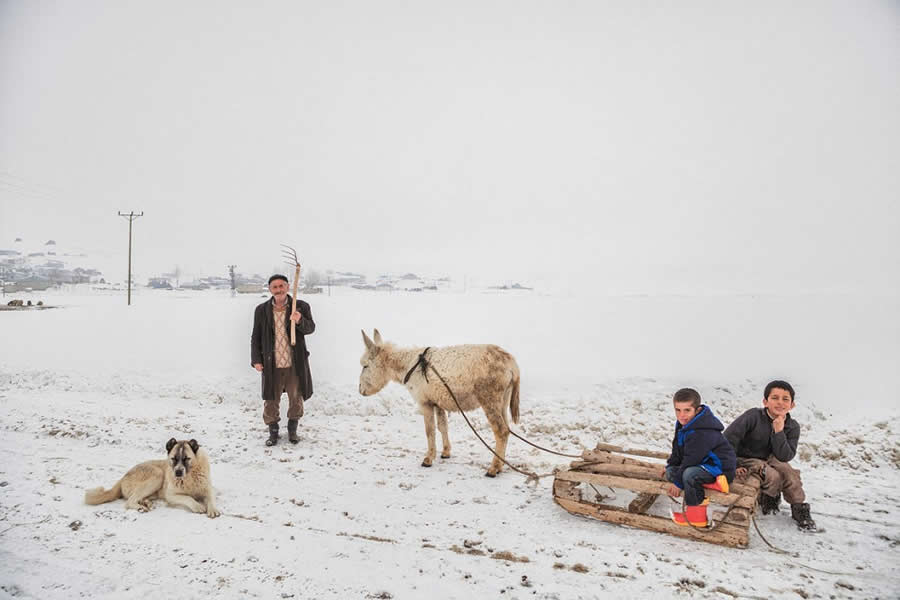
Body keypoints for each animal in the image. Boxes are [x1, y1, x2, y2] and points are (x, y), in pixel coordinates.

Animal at [84, 438, 221, 516]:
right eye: (173, 458)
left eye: (187, 458)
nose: (178, 472)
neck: (189, 476)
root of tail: (123, 477)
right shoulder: (171, 495)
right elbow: (188, 498)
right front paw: (198, 506)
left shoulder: (209, 489)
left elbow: (211, 498)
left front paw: (213, 509)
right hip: (157, 474)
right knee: (129, 501)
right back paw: (141, 507)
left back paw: (146, 503)